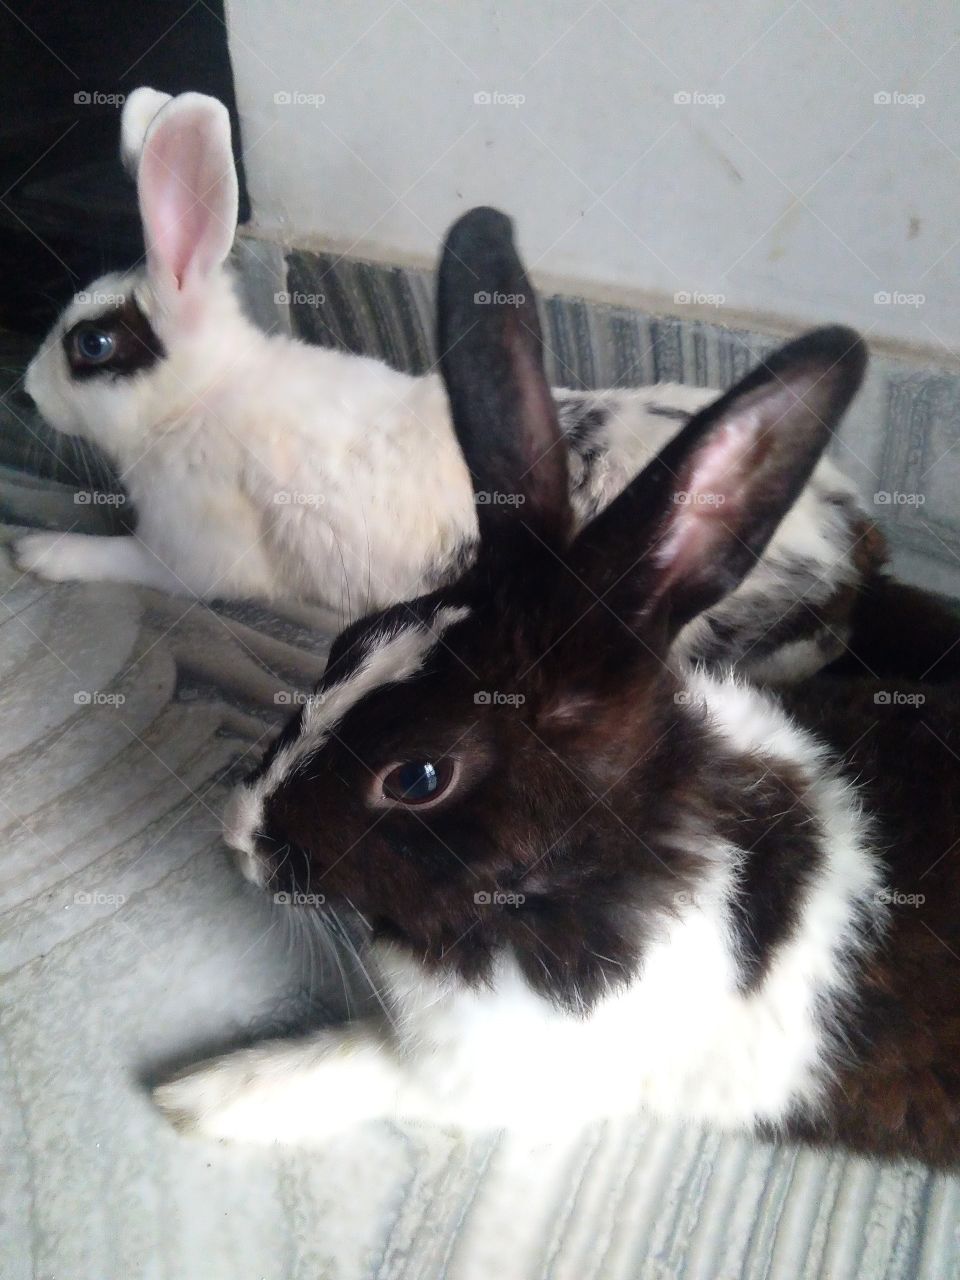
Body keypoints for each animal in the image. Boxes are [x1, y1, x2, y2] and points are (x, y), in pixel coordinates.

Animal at [14, 88, 890, 684]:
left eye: (91, 344)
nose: (24, 394)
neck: (199, 398)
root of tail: (851, 549)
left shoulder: (189, 559)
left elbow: (122, 559)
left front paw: (38, 552)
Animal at [153, 207, 960, 1168]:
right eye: (352, 641)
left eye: (417, 777)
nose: (238, 837)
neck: (592, 861)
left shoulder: (485, 1075)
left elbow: (349, 1066)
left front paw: (201, 1095)